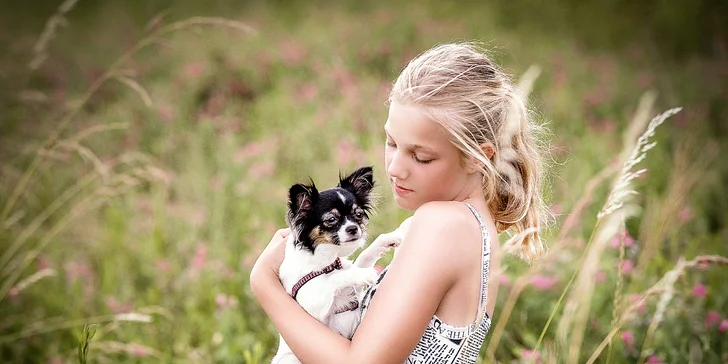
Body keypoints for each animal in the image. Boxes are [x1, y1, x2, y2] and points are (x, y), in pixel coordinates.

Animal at [274, 166, 404, 362]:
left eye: (358, 214)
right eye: (331, 220)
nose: (353, 228)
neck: (329, 260)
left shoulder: (354, 289)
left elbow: (364, 256)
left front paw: (391, 237)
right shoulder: (311, 300)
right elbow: (334, 278)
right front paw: (363, 274)